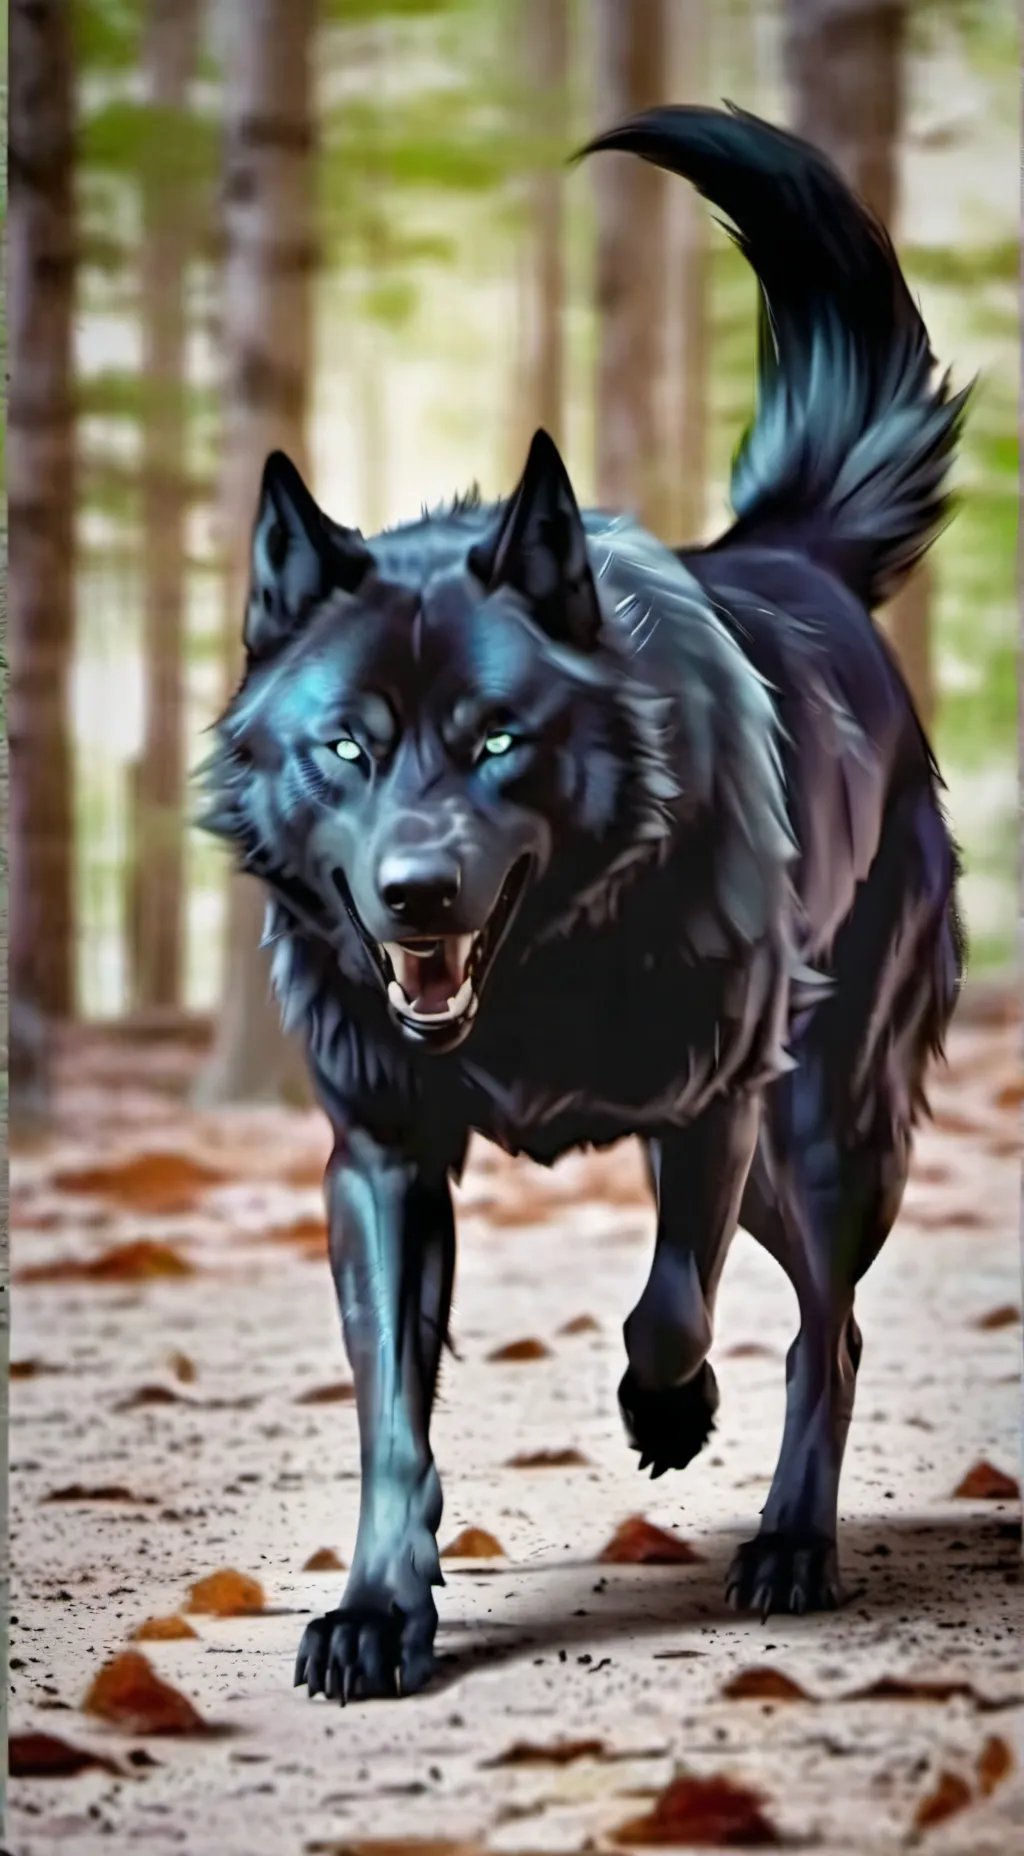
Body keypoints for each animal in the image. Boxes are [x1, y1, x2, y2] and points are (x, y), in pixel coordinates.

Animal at [200, 105, 967, 1702]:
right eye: (347, 747)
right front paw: (377, 1611)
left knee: (825, 1330)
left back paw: (790, 1545)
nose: (416, 892)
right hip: (777, 1165)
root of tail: (784, 552)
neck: (536, 988)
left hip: (819, 1130)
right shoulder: (383, 1160)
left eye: (499, 740)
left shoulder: (713, 1103)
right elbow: (390, 1417)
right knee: (830, 1318)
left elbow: (667, 1309)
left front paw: (665, 1414)